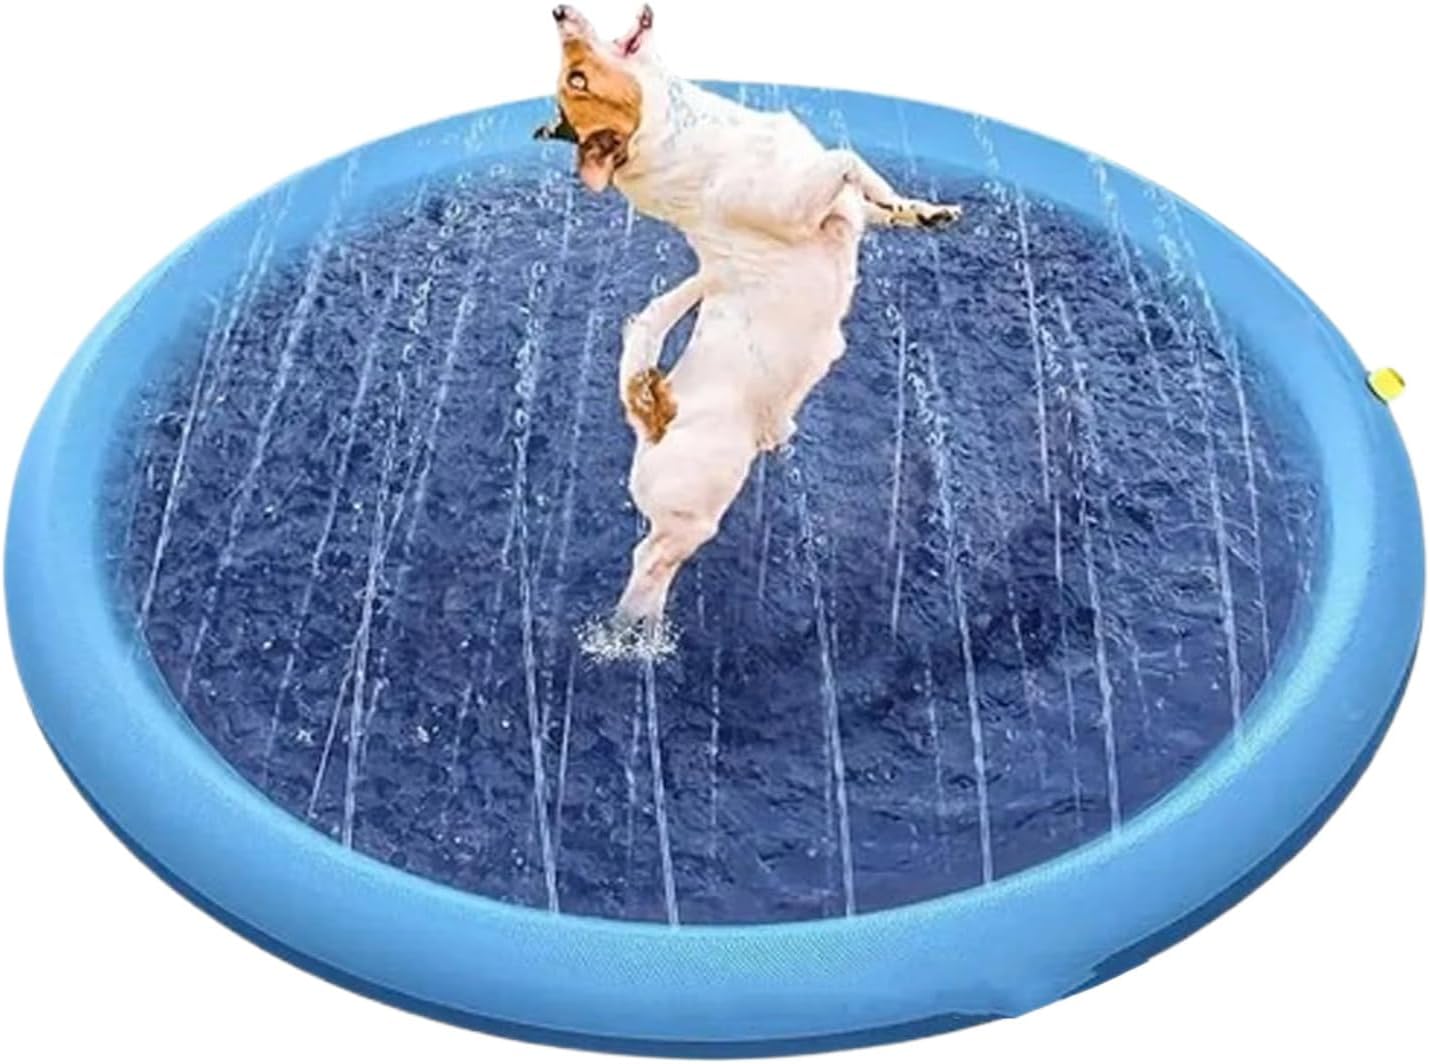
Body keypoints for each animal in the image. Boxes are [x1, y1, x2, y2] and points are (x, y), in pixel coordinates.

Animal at [536, 5, 961, 651]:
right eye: (576, 78)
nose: (558, 11)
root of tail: (653, 414)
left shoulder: (841, 207)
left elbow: (872, 196)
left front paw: (922, 211)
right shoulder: (797, 205)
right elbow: (845, 160)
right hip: (694, 510)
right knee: (647, 564)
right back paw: (635, 639)